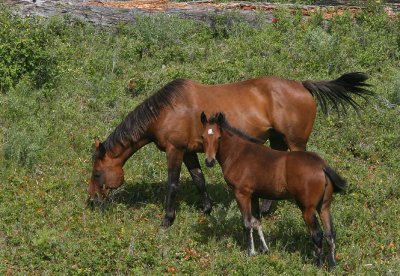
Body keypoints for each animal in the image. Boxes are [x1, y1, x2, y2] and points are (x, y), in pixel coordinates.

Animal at [89, 72, 370, 227]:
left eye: (96, 173)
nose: (91, 201)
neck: (168, 109)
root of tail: (303, 85)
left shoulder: (174, 150)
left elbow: (173, 184)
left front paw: (167, 219)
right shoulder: (189, 152)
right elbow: (199, 179)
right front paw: (206, 209)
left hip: (295, 143)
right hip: (277, 140)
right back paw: (264, 210)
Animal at [200, 112, 346, 270]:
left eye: (219, 137)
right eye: (203, 136)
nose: (209, 161)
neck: (238, 153)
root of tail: (321, 166)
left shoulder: (241, 194)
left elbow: (247, 223)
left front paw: (250, 253)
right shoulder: (254, 195)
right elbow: (256, 221)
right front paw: (264, 249)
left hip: (307, 208)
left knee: (317, 234)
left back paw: (317, 264)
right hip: (324, 206)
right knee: (330, 234)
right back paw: (332, 265)